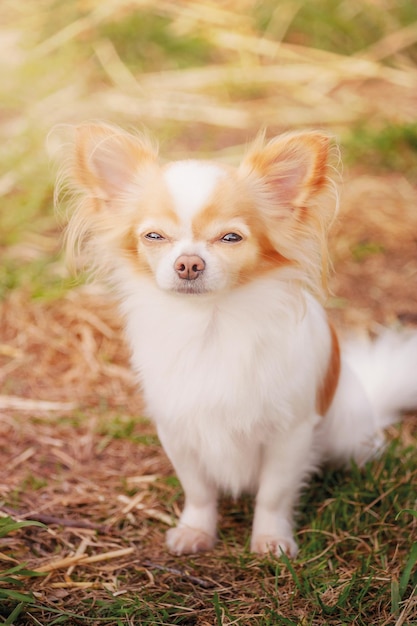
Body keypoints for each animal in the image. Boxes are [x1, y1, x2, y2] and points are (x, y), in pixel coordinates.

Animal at [55, 123, 416, 556]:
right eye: (154, 236)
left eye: (230, 238)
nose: (188, 264)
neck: (211, 323)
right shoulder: (178, 430)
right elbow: (198, 491)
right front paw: (195, 531)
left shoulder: (289, 434)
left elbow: (273, 495)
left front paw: (271, 541)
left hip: (346, 431)